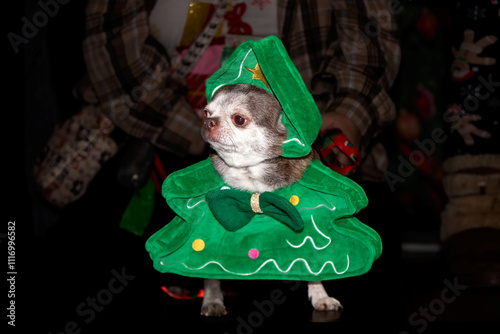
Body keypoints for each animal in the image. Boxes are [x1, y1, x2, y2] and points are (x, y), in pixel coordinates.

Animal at [200, 83, 344, 316]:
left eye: (239, 119)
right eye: (205, 112)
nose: (208, 121)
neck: (251, 174)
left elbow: (314, 265)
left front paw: (321, 296)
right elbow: (210, 272)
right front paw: (212, 300)